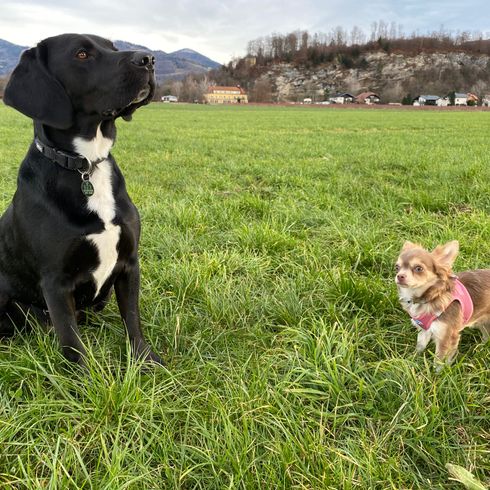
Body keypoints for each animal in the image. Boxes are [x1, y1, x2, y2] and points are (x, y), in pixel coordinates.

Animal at [0, 33, 165, 364]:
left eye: (113, 47)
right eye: (81, 54)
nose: (149, 59)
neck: (86, 165)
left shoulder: (130, 263)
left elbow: (133, 321)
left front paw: (146, 362)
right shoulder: (56, 282)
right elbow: (72, 342)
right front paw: (82, 377)